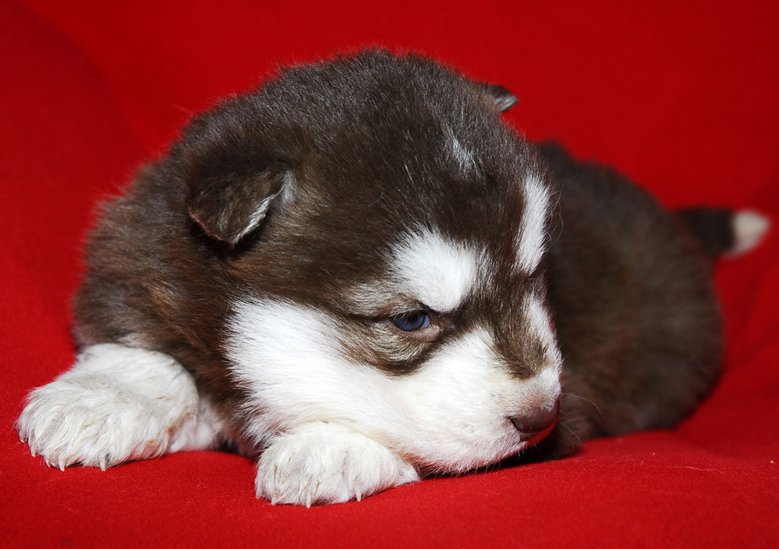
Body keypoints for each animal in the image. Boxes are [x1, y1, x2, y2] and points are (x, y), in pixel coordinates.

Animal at [15, 50, 772, 506]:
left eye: (534, 280)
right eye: (412, 319)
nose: (538, 415)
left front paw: (331, 445)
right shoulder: (149, 263)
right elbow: (145, 348)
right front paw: (99, 398)